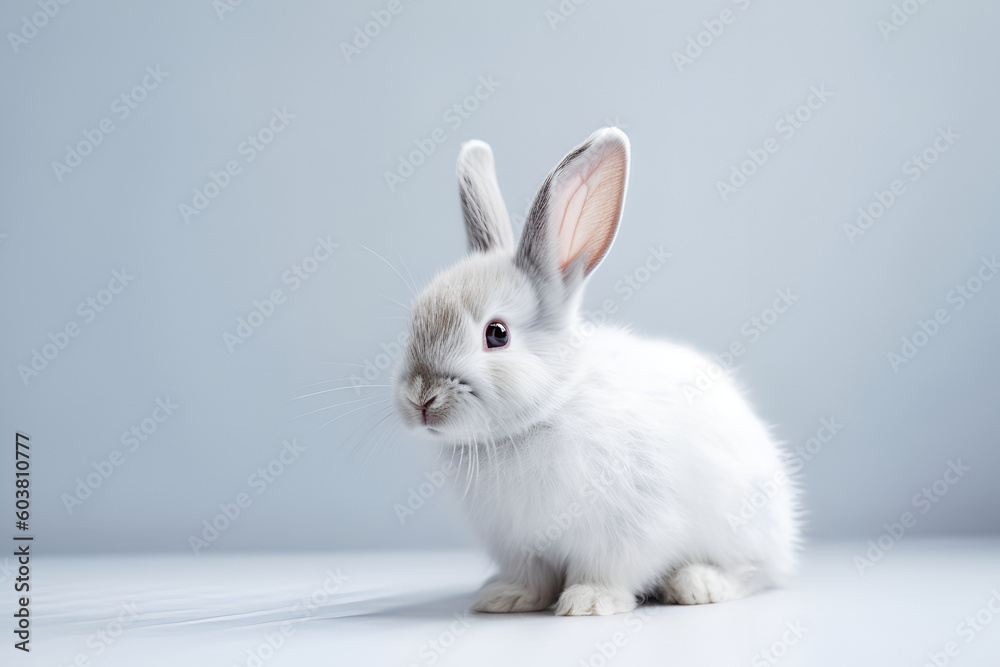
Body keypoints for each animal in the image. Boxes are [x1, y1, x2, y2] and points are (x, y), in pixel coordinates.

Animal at [391, 127, 800, 616]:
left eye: (497, 334)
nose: (420, 398)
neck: (539, 418)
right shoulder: (520, 545)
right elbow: (531, 576)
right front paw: (506, 597)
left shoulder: (627, 529)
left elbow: (608, 568)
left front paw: (588, 602)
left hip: (743, 526)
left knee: (753, 572)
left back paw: (698, 584)